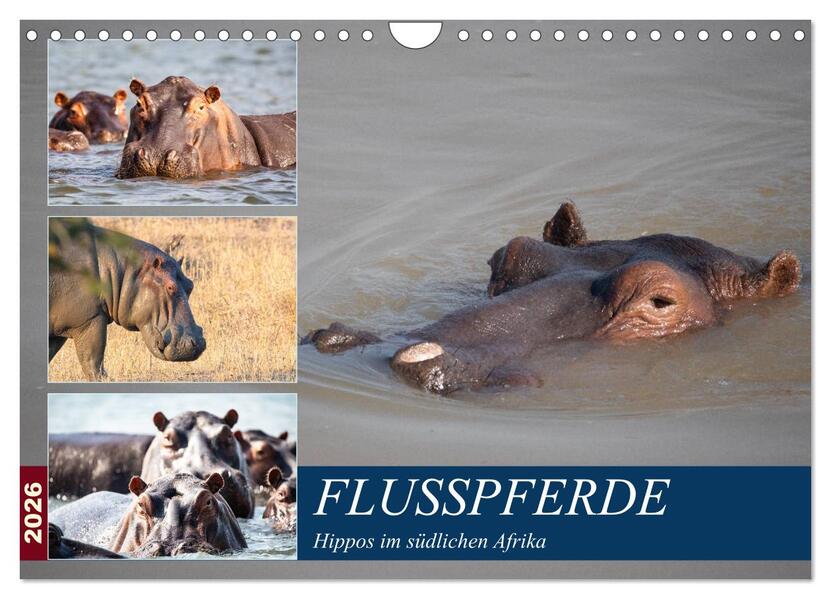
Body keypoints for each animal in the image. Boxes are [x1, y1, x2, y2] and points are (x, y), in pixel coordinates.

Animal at [48, 218, 206, 380]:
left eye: (190, 284)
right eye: (170, 287)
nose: (197, 343)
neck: (120, 271)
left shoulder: (59, 330)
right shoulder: (89, 320)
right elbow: (93, 363)